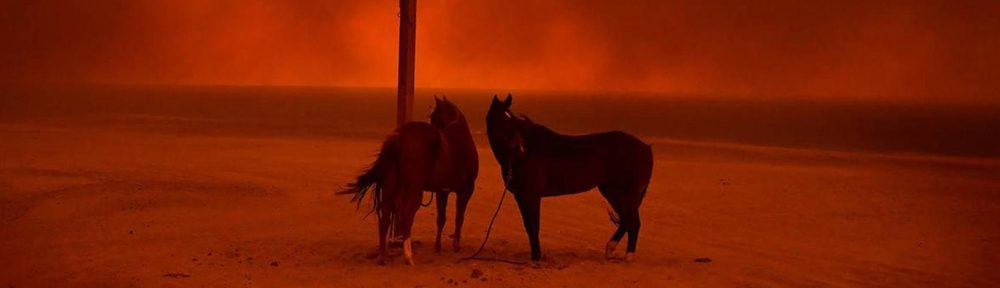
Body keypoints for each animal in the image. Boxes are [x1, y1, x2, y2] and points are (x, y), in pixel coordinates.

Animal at [342, 97, 478, 266]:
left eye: (434, 117)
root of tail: (400, 136)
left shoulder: (442, 192)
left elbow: (441, 219)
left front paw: (438, 247)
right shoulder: (465, 191)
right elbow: (459, 217)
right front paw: (455, 246)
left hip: (391, 188)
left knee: (385, 218)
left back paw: (382, 256)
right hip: (414, 190)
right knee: (406, 215)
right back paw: (408, 256)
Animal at [486, 94, 656, 260]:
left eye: (512, 121)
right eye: (502, 120)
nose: (520, 149)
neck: (521, 156)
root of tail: (646, 149)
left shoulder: (531, 195)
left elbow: (533, 226)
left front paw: (536, 258)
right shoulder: (521, 196)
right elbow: (529, 226)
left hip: (622, 193)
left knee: (632, 221)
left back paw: (624, 253)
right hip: (613, 192)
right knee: (628, 220)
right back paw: (614, 250)